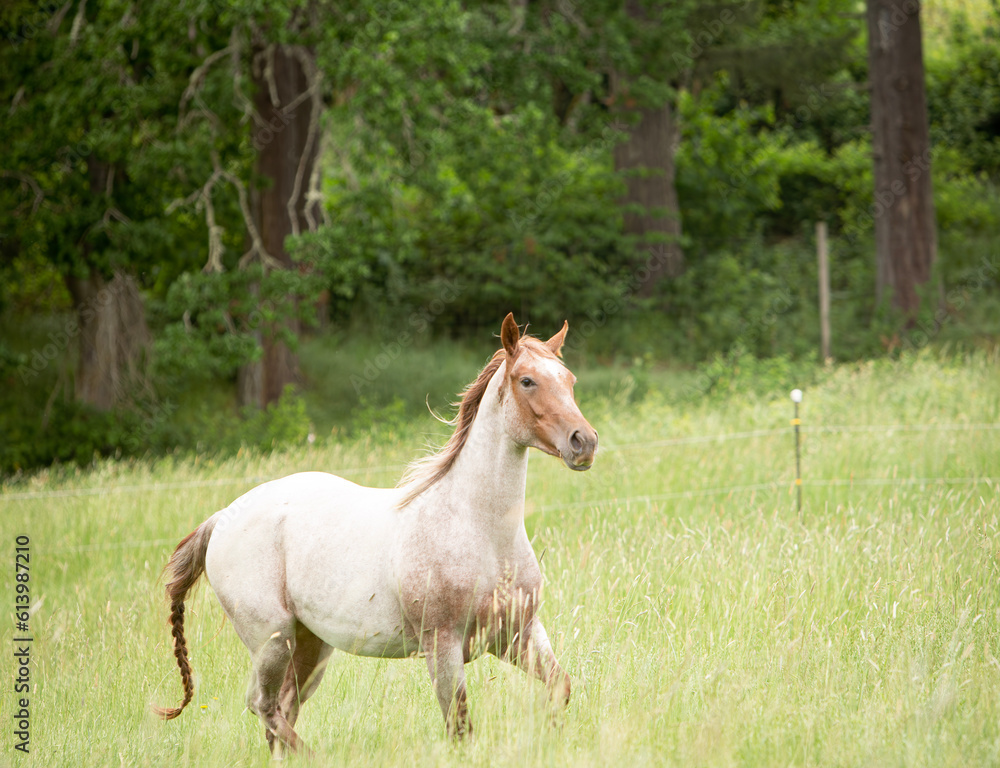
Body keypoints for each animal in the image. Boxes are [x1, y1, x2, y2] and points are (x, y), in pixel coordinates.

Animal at [153, 313, 598, 757]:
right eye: (527, 381)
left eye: (570, 379)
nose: (584, 442)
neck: (482, 532)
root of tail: (220, 519)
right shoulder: (442, 647)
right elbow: (459, 726)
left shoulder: (519, 634)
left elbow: (560, 687)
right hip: (272, 640)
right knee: (262, 705)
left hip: (310, 647)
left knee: (281, 711)